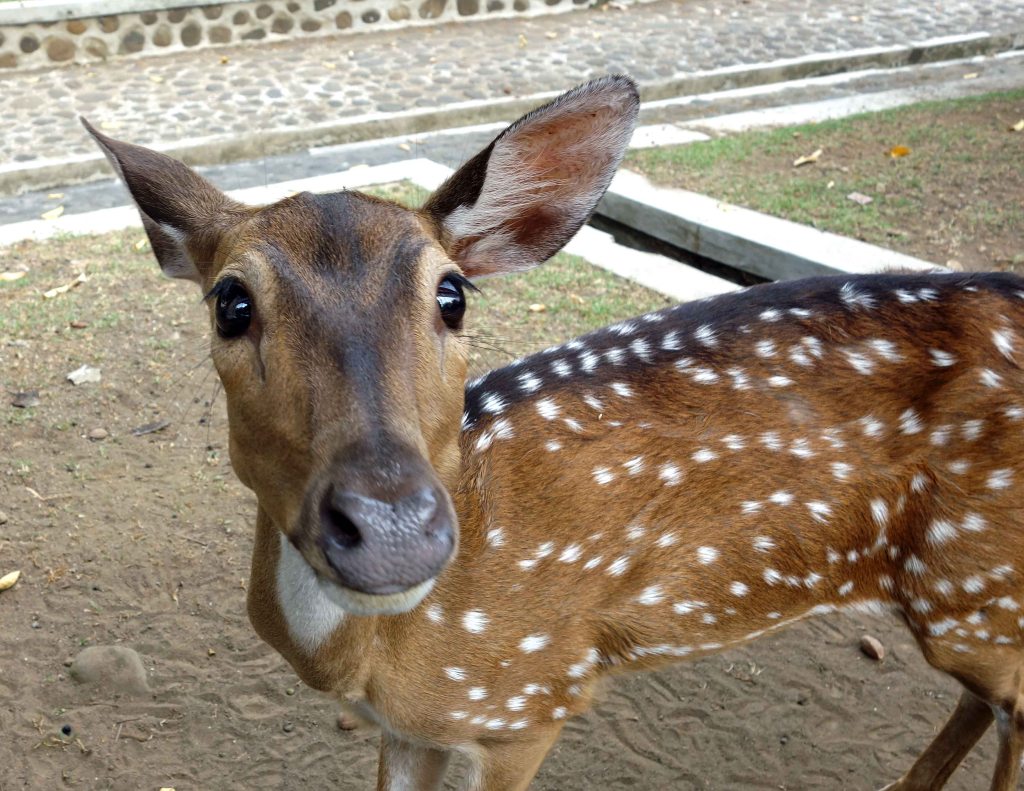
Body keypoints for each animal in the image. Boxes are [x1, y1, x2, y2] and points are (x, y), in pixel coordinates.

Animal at [85, 74, 1024, 790]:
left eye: (452, 293)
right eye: (230, 301)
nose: (391, 529)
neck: (379, 656)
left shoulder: (530, 695)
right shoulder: (411, 726)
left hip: (980, 584)